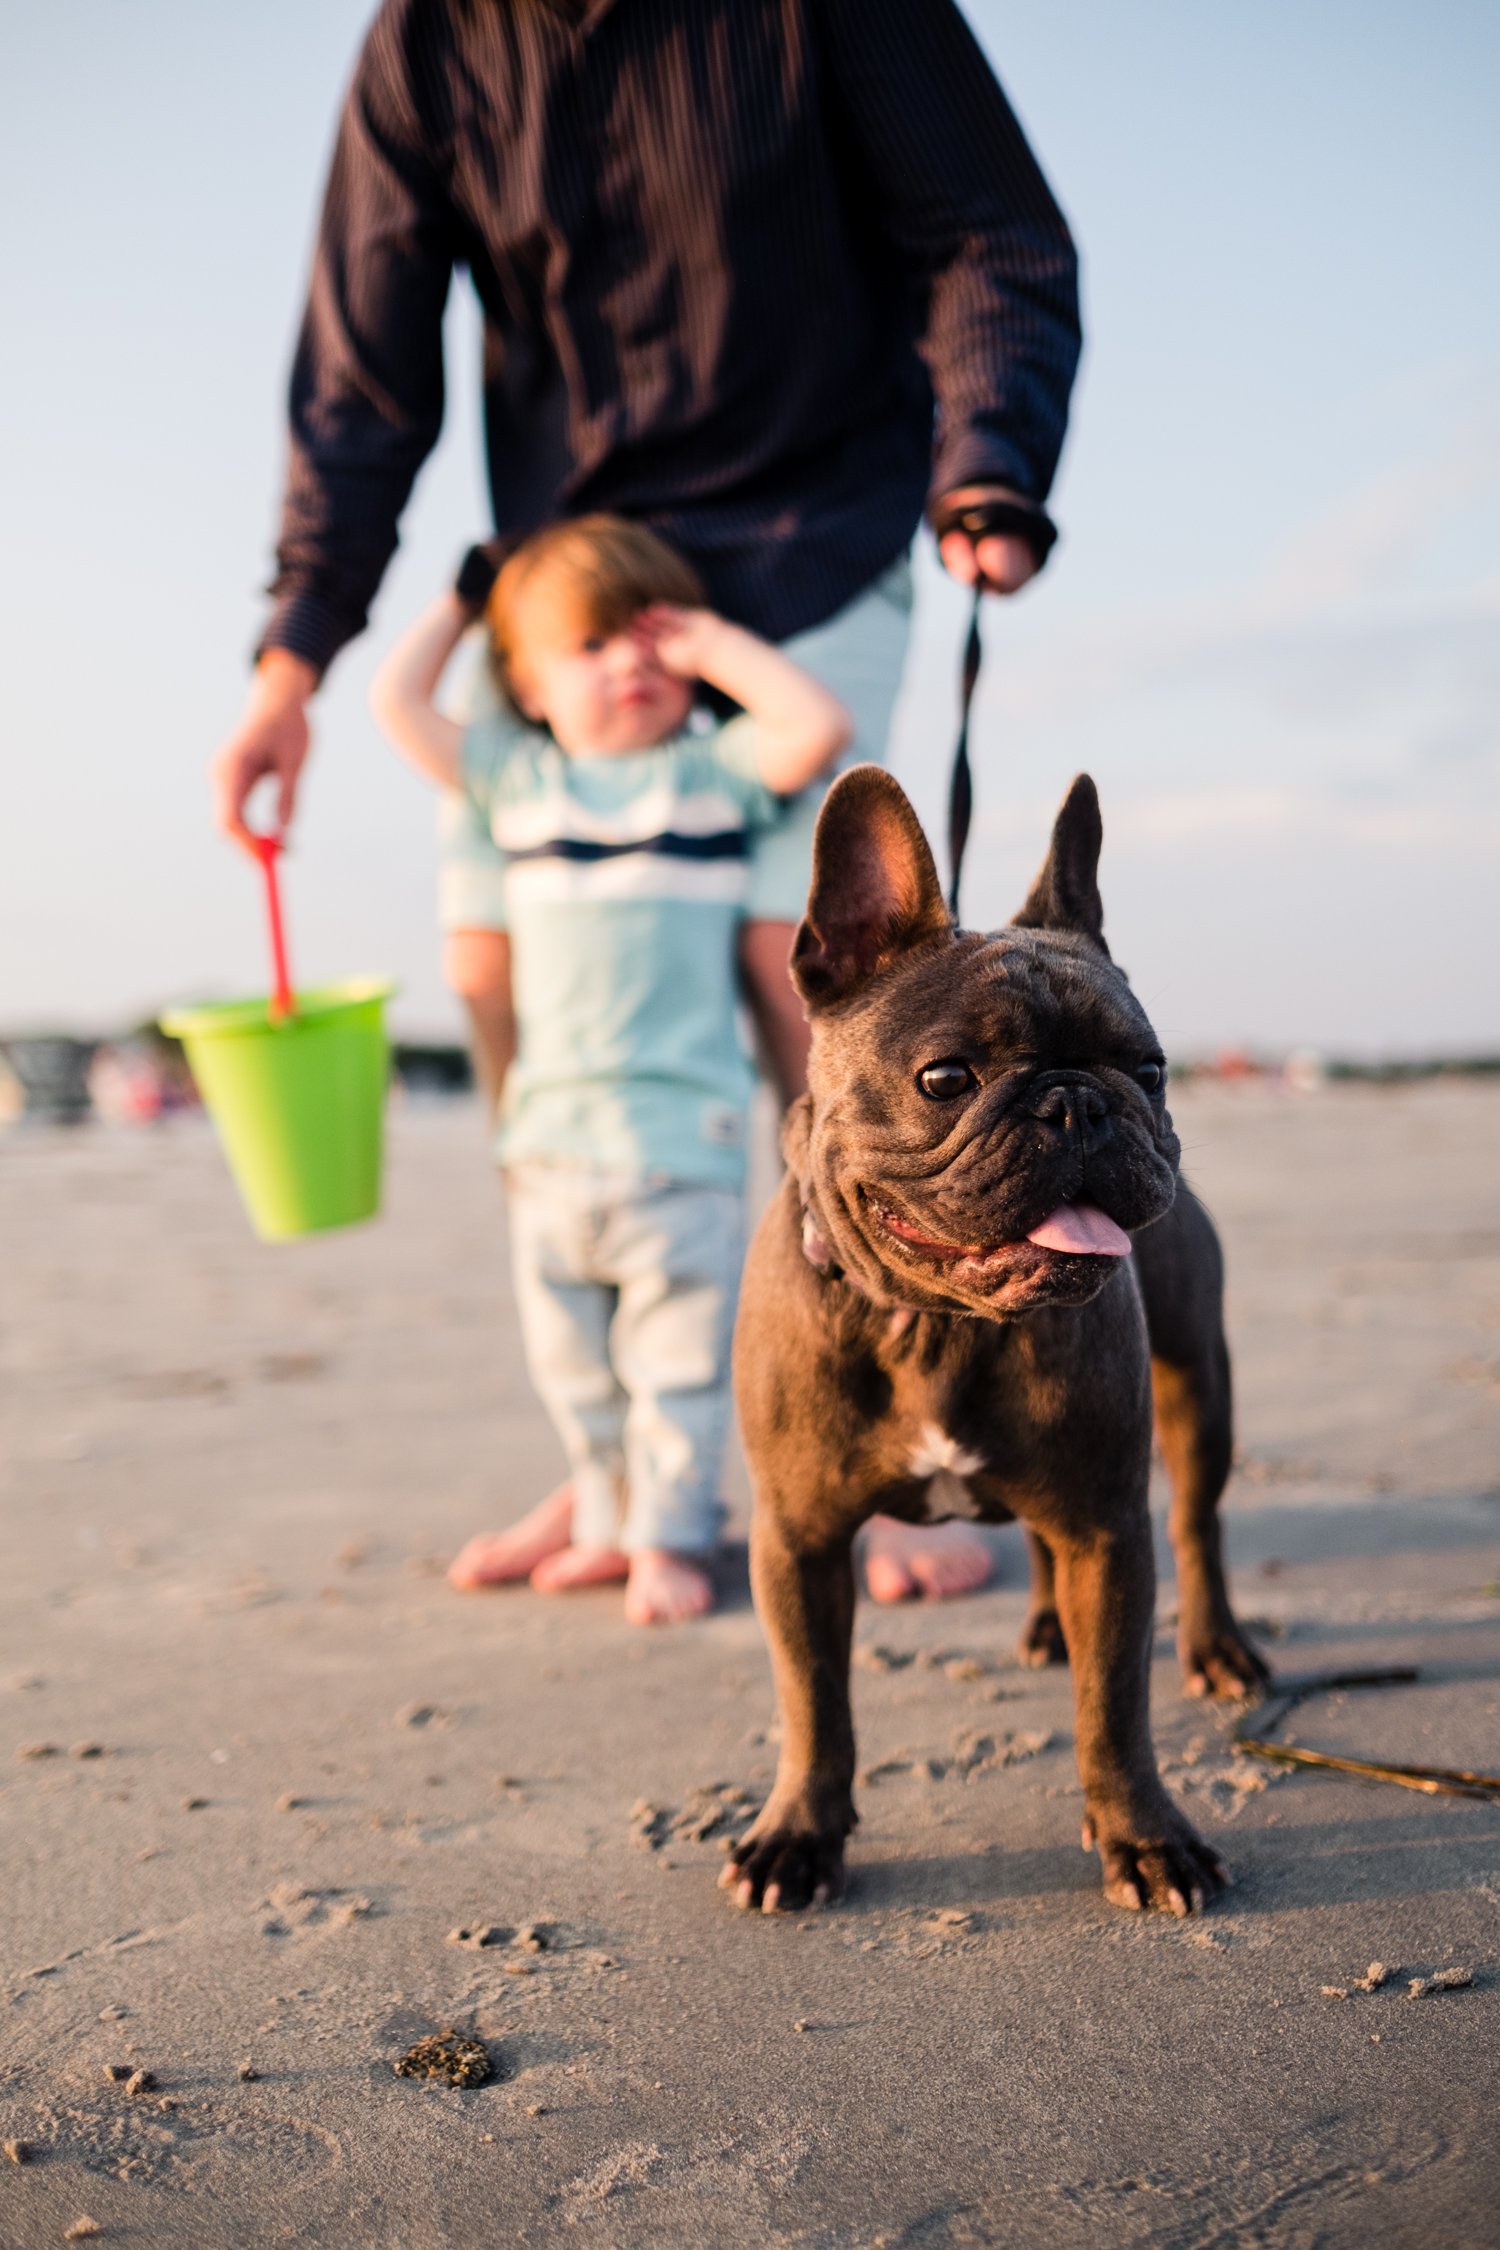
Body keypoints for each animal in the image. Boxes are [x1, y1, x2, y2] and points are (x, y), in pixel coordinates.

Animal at [719, 769, 1259, 1917]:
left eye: (1150, 1069)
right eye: (945, 1079)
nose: (1080, 1103)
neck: (936, 1324)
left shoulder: (1107, 1526)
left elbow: (1115, 1704)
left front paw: (1145, 1837)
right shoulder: (798, 1541)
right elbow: (812, 1701)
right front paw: (798, 1835)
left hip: (1200, 1387)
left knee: (1196, 1522)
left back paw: (1217, 1646)